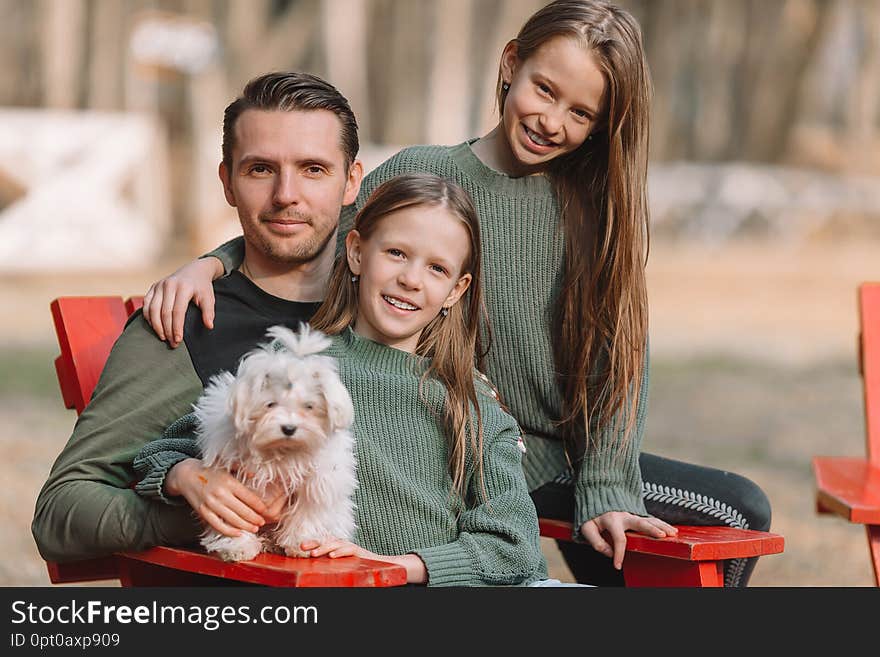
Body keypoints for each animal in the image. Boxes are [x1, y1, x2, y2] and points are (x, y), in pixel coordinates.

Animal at [193, 322, 358, 560]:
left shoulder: (318, 480)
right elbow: (235, 518)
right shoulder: (236, 485)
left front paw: (301, 543)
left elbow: (308, 509)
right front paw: (237, 545)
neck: (281, 451)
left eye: (309, 406)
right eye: (270, 404)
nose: (289, 428)